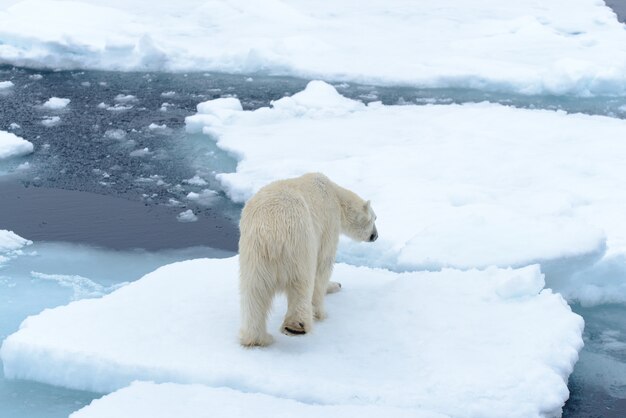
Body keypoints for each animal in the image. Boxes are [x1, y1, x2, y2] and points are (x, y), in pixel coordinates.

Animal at [238, 171, 376, 348]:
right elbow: (324, 265)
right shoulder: (328, 223)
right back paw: (295, 327)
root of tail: (270, 232)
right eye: (375, 218)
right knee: (302, 284)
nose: (375, 236)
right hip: (300, 246)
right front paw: (330, 294)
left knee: (253, 292)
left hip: (253, 257)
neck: (335, 193)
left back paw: (258, 338)